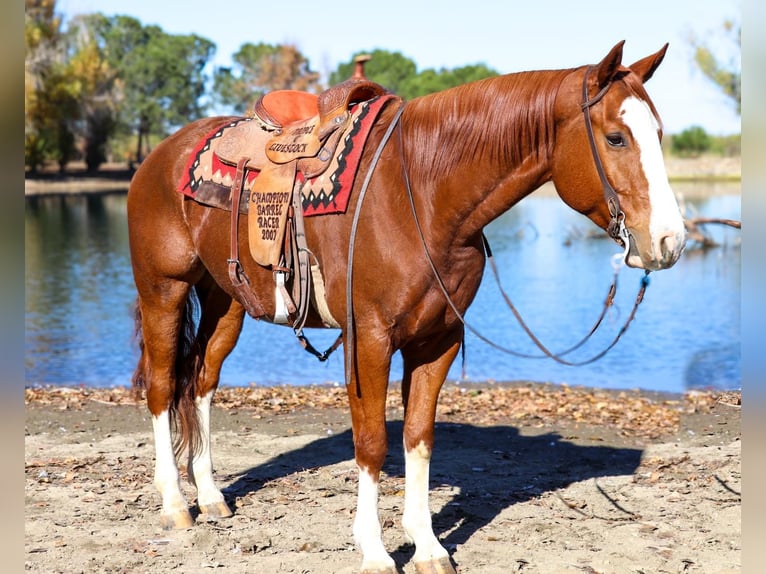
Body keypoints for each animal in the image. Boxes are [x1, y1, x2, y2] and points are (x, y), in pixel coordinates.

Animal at [129, 41, 688, 574]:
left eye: (660, 134)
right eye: (616, 138)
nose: (671, 241)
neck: (420, 191)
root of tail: (161, 154)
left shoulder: (437, 341)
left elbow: (418, 438)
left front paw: (427, 546)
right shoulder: (369, 340)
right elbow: (372, 442)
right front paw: (375, 552)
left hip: (226, 301)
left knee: (201, 382)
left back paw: (211, 496)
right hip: (164, 291)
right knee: (162, 386)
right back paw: (175, 504)